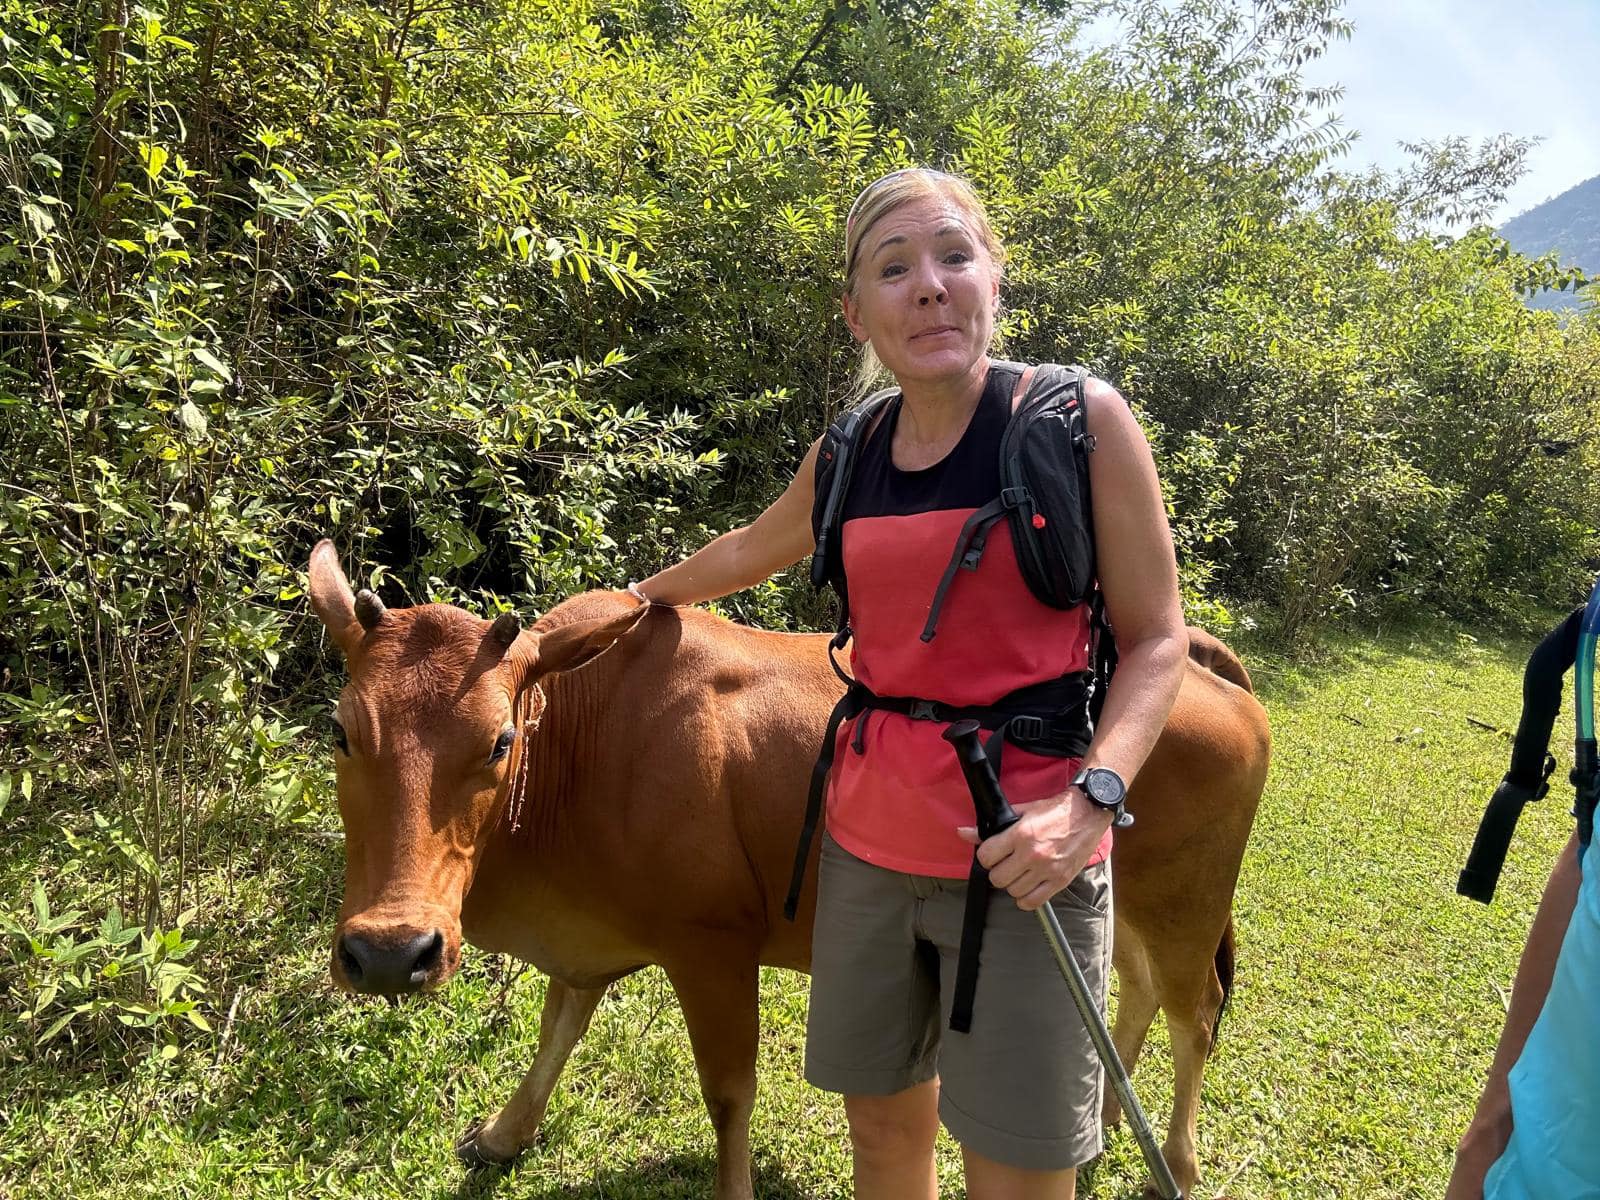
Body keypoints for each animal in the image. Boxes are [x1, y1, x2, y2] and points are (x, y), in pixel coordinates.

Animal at [305, 544, 1267, 1200]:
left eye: (500, 740)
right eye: (341, 730)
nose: (390, 951)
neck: (578, 747)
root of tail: (1197, 661)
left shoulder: (711, 948)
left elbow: (729, 1093)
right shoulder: (592, 936)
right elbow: (556, 1034)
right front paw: (505, 1134)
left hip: (1184, 908)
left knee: (1194, 1015)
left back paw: (1173, 1160)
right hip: (1120, 898)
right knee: (1134, 990)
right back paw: (1103, 1118)